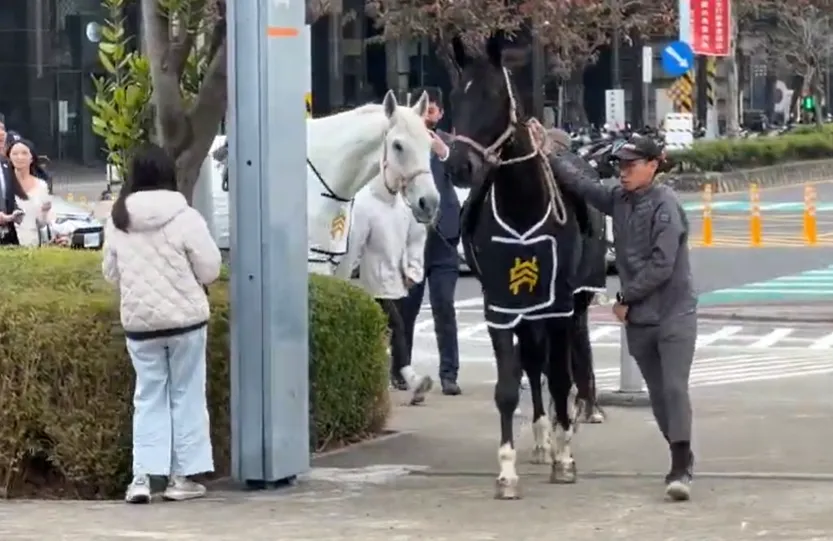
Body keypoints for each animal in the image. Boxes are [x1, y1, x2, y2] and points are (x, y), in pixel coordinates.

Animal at [445, 33, 587, 499]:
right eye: (455, 95)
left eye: (493, 95)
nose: (459, 166)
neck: (524, 205)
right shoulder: (500, 307)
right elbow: (509, 386)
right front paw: (506, 471)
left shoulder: (559, 306)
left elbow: (560, 379)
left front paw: (565, 459)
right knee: (532, 361)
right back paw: (541, 439)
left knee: (557, 370)